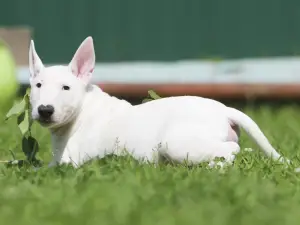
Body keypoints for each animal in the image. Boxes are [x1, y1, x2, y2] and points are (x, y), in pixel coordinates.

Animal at [28, 36, 290, 168]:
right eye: (37, 85)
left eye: (66, 88)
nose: (45, 110)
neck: (82, 112)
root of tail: (226, 110)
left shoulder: (69, 162)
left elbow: (39, 168)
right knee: (240, 150)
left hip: (174, 143)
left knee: (230, 151)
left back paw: (213, 167)